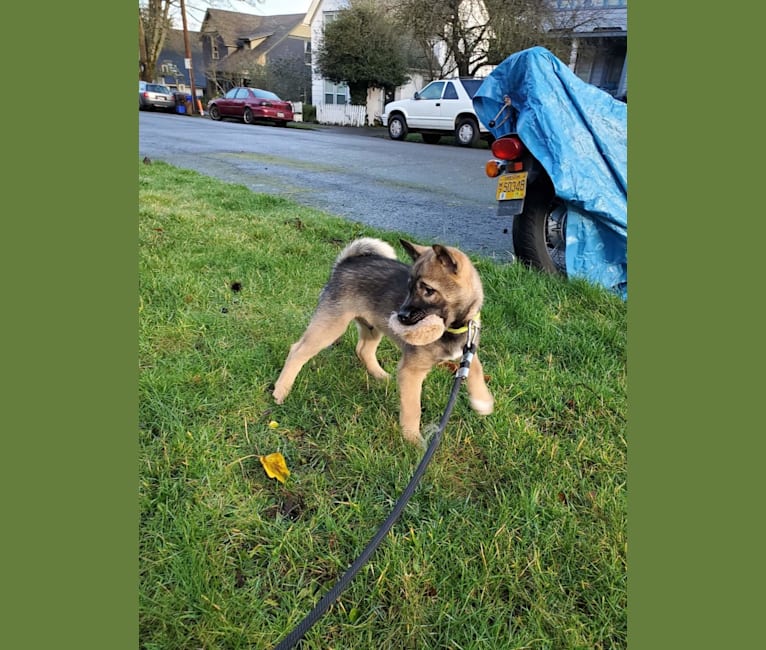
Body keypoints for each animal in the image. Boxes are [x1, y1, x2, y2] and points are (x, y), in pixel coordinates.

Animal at [272, 238, 496, 446]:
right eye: (409, 288)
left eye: (428, 290)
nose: (401, 316)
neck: (454, 327)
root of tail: (345, 263)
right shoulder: (411, 371)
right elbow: (413, 408)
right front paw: (413, 439)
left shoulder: (467, 349)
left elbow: (476, 369)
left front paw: (482, 401)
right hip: (331, 325)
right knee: (297, 351)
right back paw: (281, 390)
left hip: (372, 327)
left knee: (363, 350)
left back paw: (380, 375)